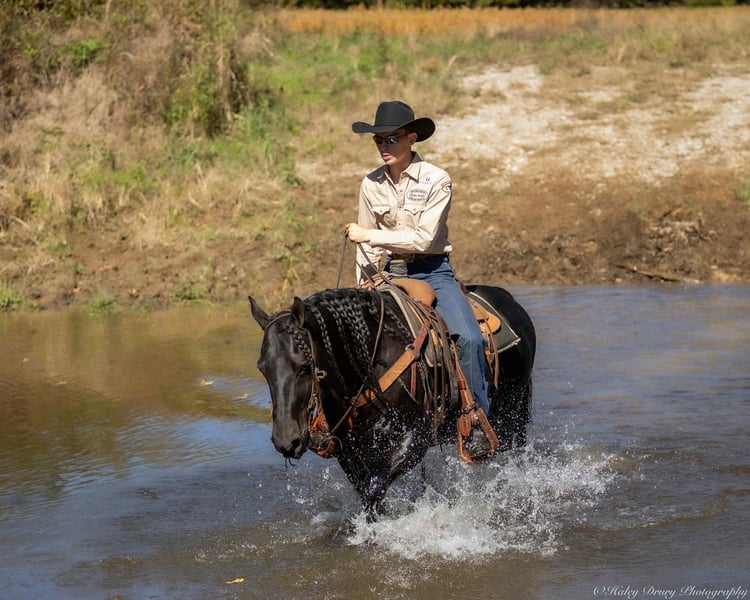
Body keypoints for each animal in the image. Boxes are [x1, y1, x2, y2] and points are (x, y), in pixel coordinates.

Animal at [249, 284, 536, 519]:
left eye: (304, 367)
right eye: (262, 368)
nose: (286, 441)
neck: (370, 365)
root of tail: (510, 300)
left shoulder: (416, 438)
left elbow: (373, 487)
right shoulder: (350, 448)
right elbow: (366, 490)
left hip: (511, 414)